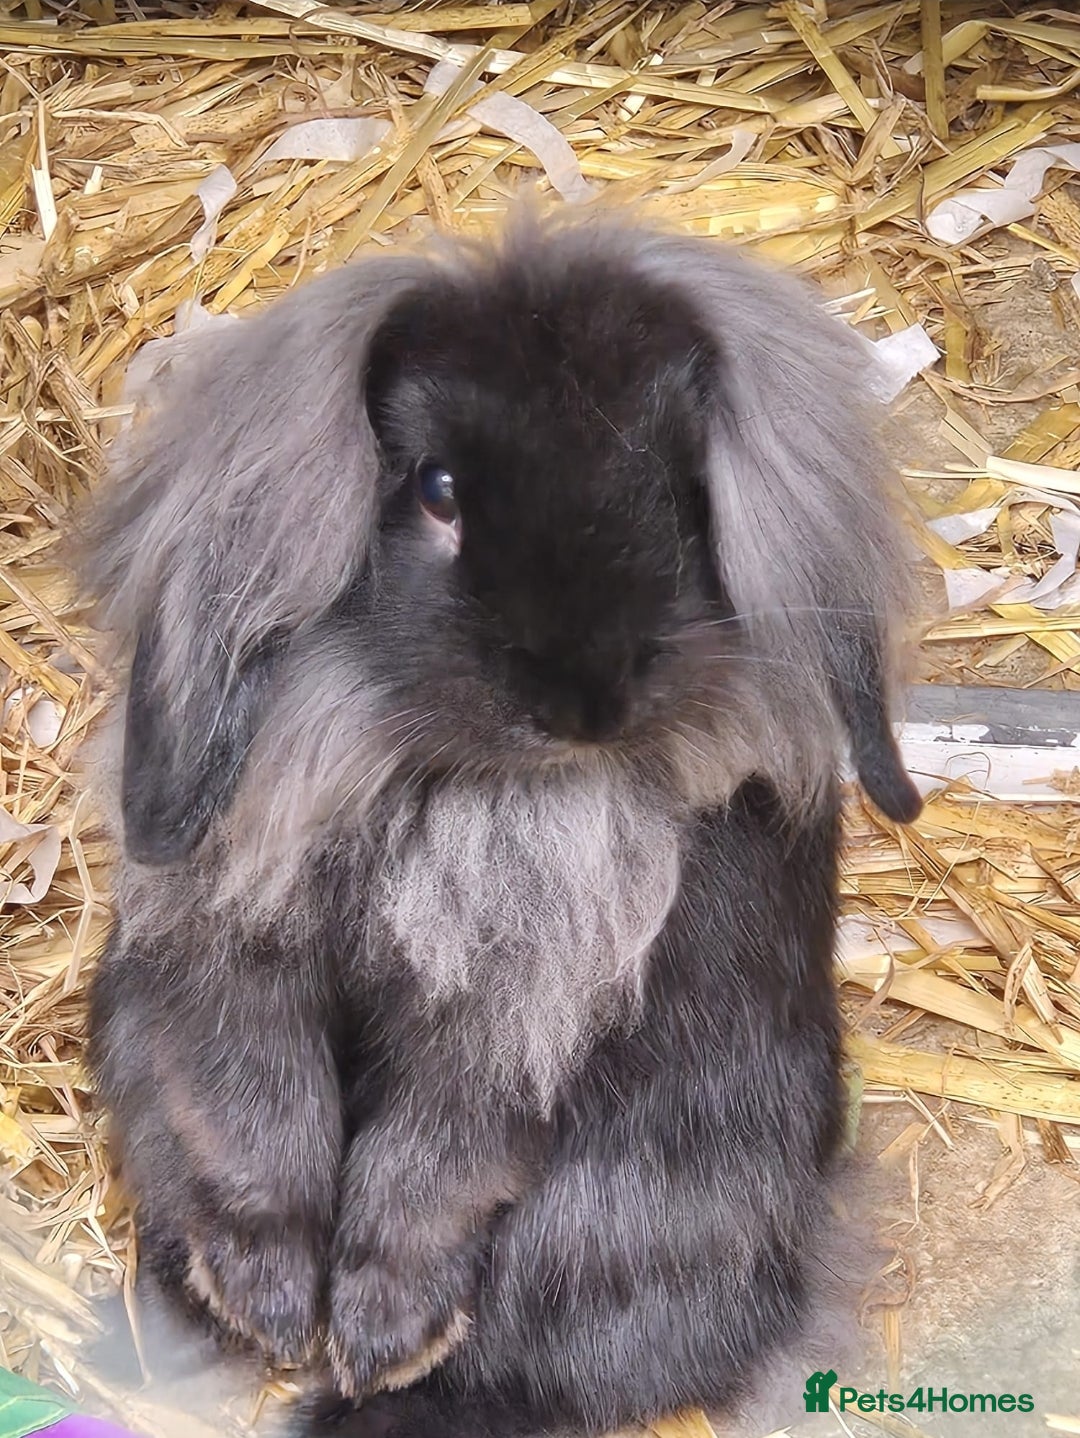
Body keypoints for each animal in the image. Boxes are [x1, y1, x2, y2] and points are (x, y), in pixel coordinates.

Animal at [77, 207, 922, 1438]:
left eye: (684, 494)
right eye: (437, 487)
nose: (585, 700)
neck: (454, 787)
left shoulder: (510, 1037)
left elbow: (437, 1167)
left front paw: (373, 1339)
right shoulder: (231, 959)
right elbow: (252, 1111)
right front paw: (271, 1307)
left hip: (633, 1211)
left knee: (546, 1370)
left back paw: (374, 1394)